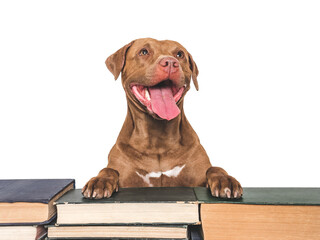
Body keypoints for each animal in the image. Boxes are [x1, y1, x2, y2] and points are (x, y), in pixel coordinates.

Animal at [82, 37, 242, 199]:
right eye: (144, 52)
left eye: (180, 54)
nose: (170, 62)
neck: (157, 138)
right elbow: (109, 170)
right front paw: (100, 181)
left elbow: (215, 168)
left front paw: (224, 179)